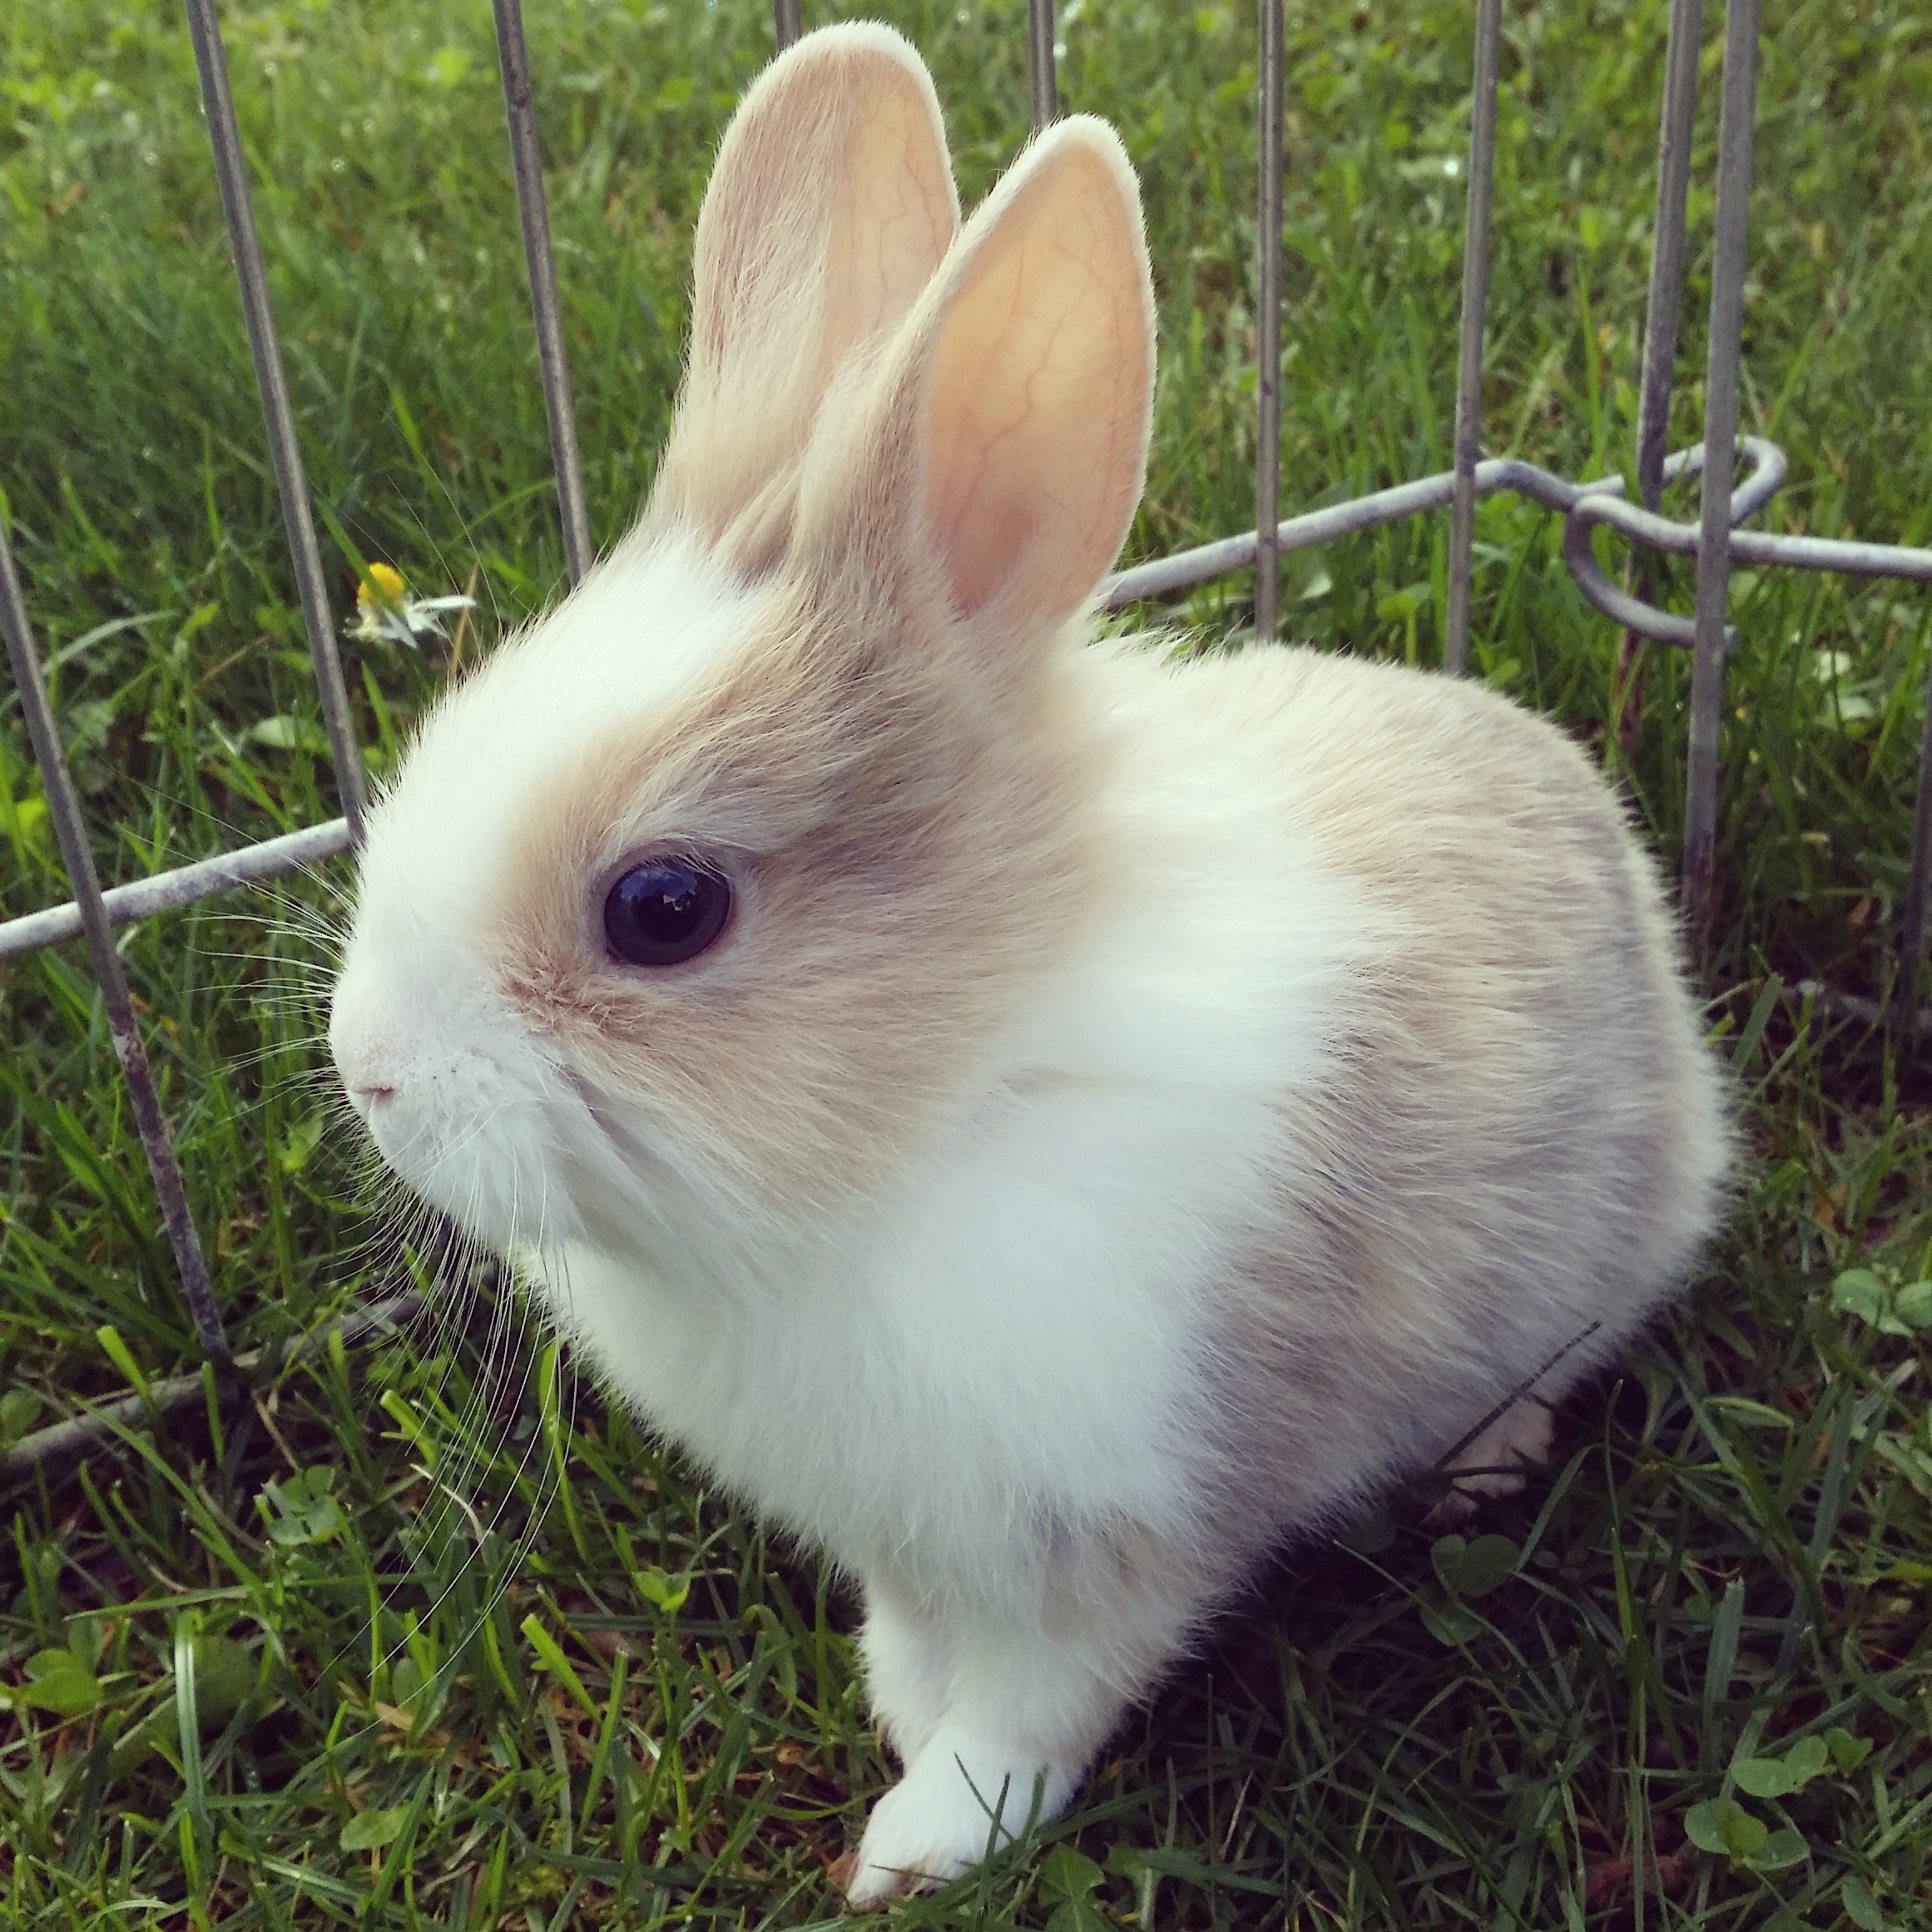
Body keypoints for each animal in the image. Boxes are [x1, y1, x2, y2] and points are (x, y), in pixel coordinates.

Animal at [326, 20, 1732, 1907]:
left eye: (665, 909)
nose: (369, 1073)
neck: (953, 1096)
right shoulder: (915, 1530)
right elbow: (922, 1639)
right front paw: (893, 1706)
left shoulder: (1111, 1524)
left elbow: (1040, 1701)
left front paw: (920, 1842)